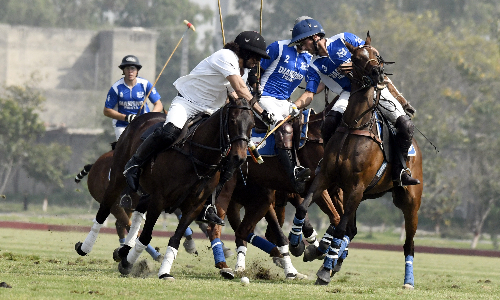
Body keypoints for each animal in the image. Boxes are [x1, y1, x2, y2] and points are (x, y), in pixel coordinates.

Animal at [73, 95, 254, 280]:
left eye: (252, 124)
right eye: (232, 120)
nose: (239, 158)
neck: (198, 155)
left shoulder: (194, 206)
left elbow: (175, 238)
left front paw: (164, 271)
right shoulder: (159, 199)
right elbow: (146, 236)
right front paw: (127, 263)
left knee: (131, 218)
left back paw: (124, 251)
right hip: (117, 177)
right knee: (105, 210)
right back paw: (85, 247)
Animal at [292, 32, 422, 288]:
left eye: (377, 54)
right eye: (356, 58)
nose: (378, 73)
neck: (355, 124)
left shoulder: (356, 187)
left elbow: (340, 226)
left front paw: (325, 270)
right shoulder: (326, 177)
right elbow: (304, 206)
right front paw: (298, 244)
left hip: (411, 202)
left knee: (409, 243)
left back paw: (408, 281)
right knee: (351, 228)